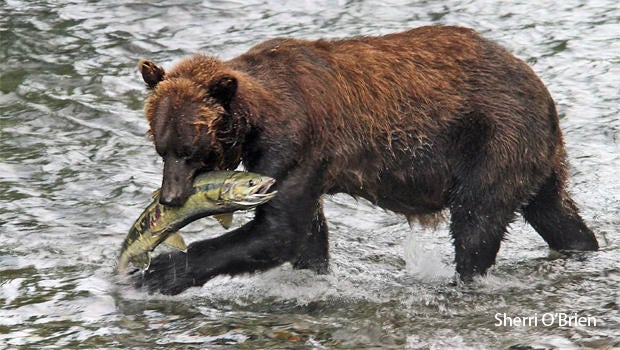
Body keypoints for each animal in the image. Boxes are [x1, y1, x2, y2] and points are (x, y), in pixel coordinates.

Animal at [134, 25, 596, 296]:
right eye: (161, 147)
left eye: (190, 151)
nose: (170, 198)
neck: (255, 118)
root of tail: (542, 90)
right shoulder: (297, 160)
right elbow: (306, 234)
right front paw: (313, 275)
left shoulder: (293, 141)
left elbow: (278, 230)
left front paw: (160, 271)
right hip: (536, 159)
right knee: (555, 213)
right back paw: (582, 247)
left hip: (494, 139)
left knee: (476, 222)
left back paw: (464, 278)